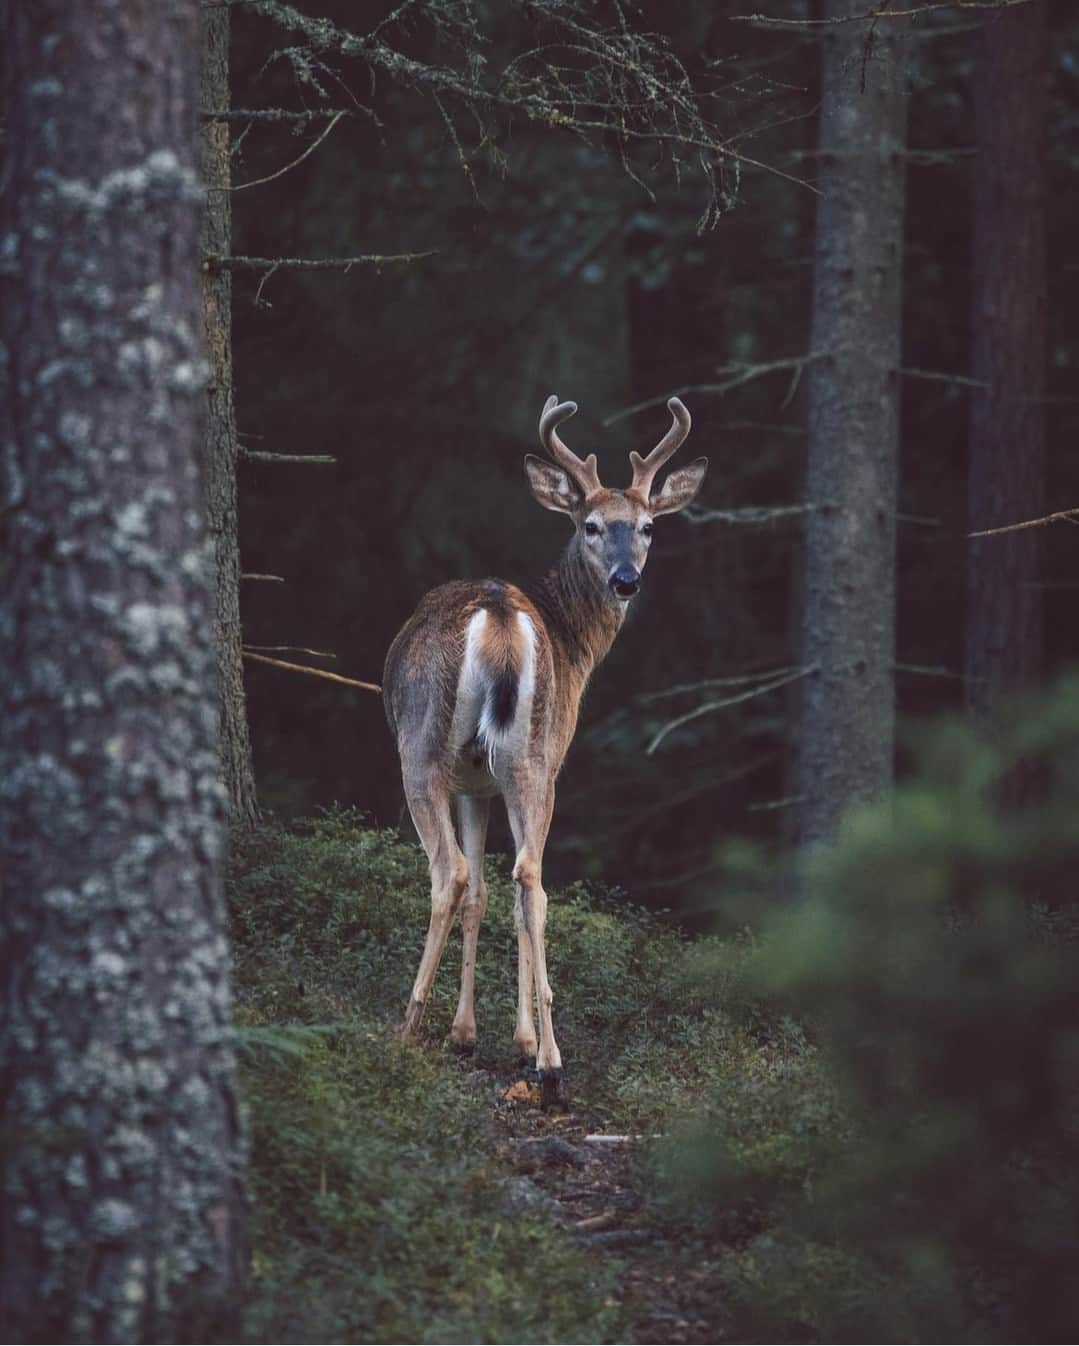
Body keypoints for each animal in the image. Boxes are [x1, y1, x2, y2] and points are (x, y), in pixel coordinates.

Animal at [382, 393, 707, 1108]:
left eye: (648, 526)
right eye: (591, 525)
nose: (626, 580)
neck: (572, 640)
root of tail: (500, 617)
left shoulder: (470, 780)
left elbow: (475, 885)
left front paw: (473, 1034)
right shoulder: (483, 782)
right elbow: (490, 892)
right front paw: (489, 1034)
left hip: (429, 747)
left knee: (455, 873)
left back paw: (413, 1028)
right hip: (526, 756)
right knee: (525, 876)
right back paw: (549, 1063)